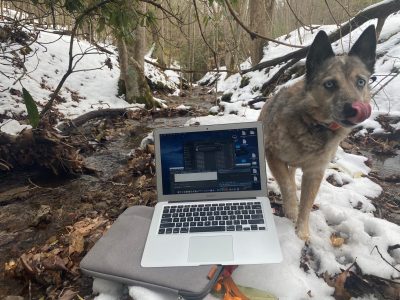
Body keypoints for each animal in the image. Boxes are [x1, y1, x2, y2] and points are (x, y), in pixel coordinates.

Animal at [258, 25, 376, 241]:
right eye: (329, 84)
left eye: (361, 82)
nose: (356, 109)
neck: (313, 125)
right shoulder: (273, 155)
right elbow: (287, 185)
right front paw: (291, 210)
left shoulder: (315, 171)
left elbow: (307, 203)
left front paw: (302, 230)